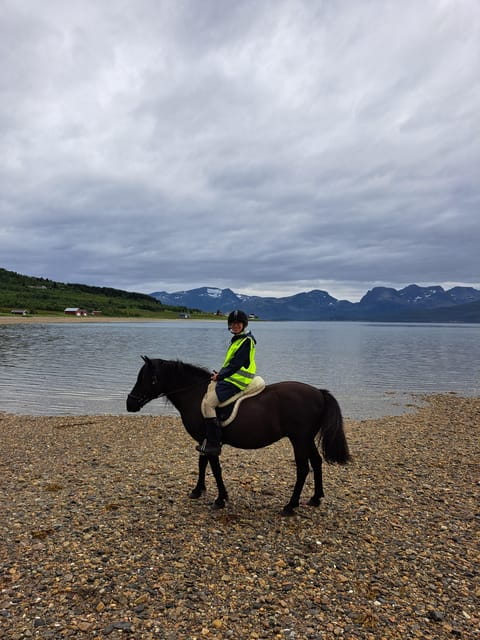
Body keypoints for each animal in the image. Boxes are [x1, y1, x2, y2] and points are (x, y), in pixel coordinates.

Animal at [126, 357, 351, 515]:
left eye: (149, 379)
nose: (130, 404)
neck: (196, 395)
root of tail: (319, 392)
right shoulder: (203, 440)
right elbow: (202, 464)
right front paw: (198, 491)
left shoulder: (211, 442)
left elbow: (215, 469)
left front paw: (220, 499)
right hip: (306, 439)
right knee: (317, 462)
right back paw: (315, 498)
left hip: (299, 439)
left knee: (303, 469)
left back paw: (290, 506)